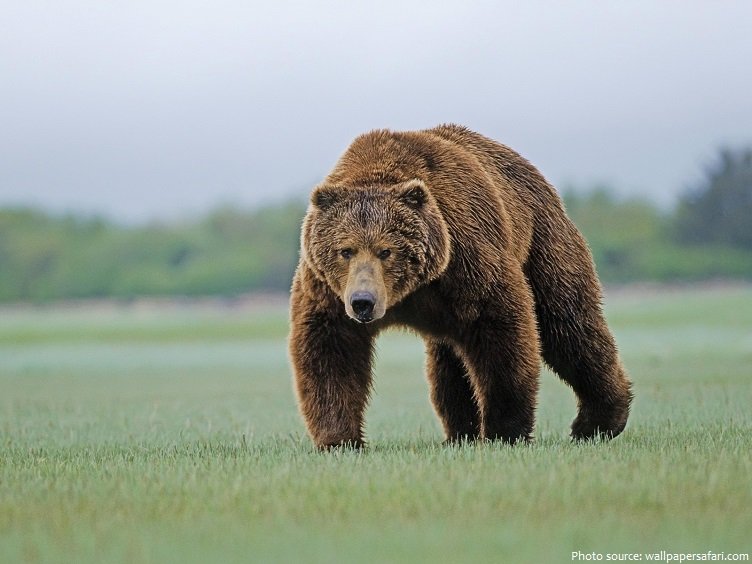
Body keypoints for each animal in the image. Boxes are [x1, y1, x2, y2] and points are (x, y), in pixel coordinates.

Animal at [289, 124, 632, 449]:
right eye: (345, 250)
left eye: (386, 250)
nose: (363, 301)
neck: (410, 292)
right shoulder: (328, 290)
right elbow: (331, 350)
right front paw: (339, 439)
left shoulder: (467, 259)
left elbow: (502, 333)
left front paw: (504, 431)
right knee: (449, 364)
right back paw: (460, 432)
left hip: (542, 242)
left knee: (568, 325)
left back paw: (598, 421)